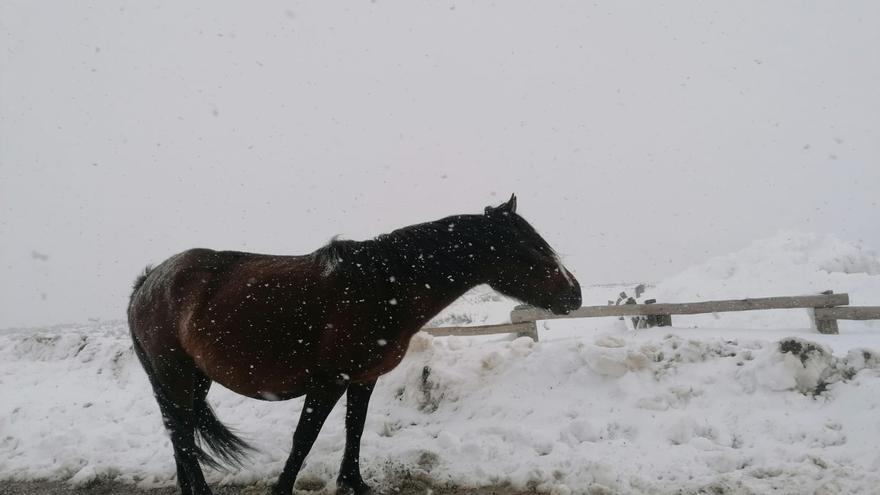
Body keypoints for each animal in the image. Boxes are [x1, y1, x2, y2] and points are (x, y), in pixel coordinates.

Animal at [127, 196, 580, 494]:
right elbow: (303, 439)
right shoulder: (328, 382)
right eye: (531, 248)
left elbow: (354, 428)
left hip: (191, 380)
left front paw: (353, 483)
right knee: (182, 436)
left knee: (181, 435)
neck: (382, 286)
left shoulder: (364, 379)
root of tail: (148, 281)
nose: (573, 295)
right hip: (176, 377)